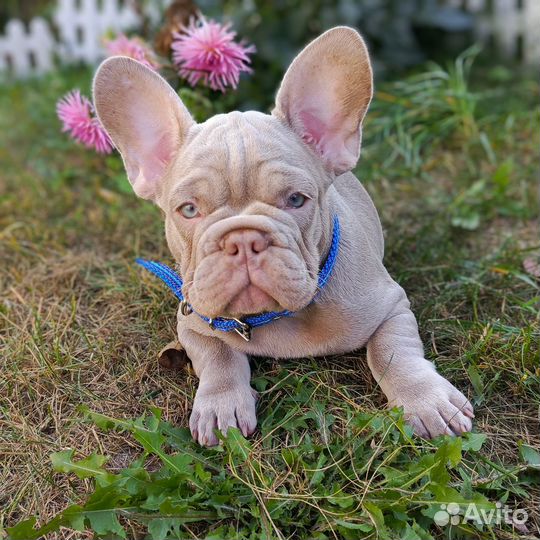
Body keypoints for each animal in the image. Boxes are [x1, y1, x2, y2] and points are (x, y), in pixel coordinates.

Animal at [93, 26, 472, 448]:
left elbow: (394, 352)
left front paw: (426, 400)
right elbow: (218, 359)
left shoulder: (392, 306)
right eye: (189, 210)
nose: (242, 240)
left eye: (296, 199)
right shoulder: (192, 322)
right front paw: (222, 404)